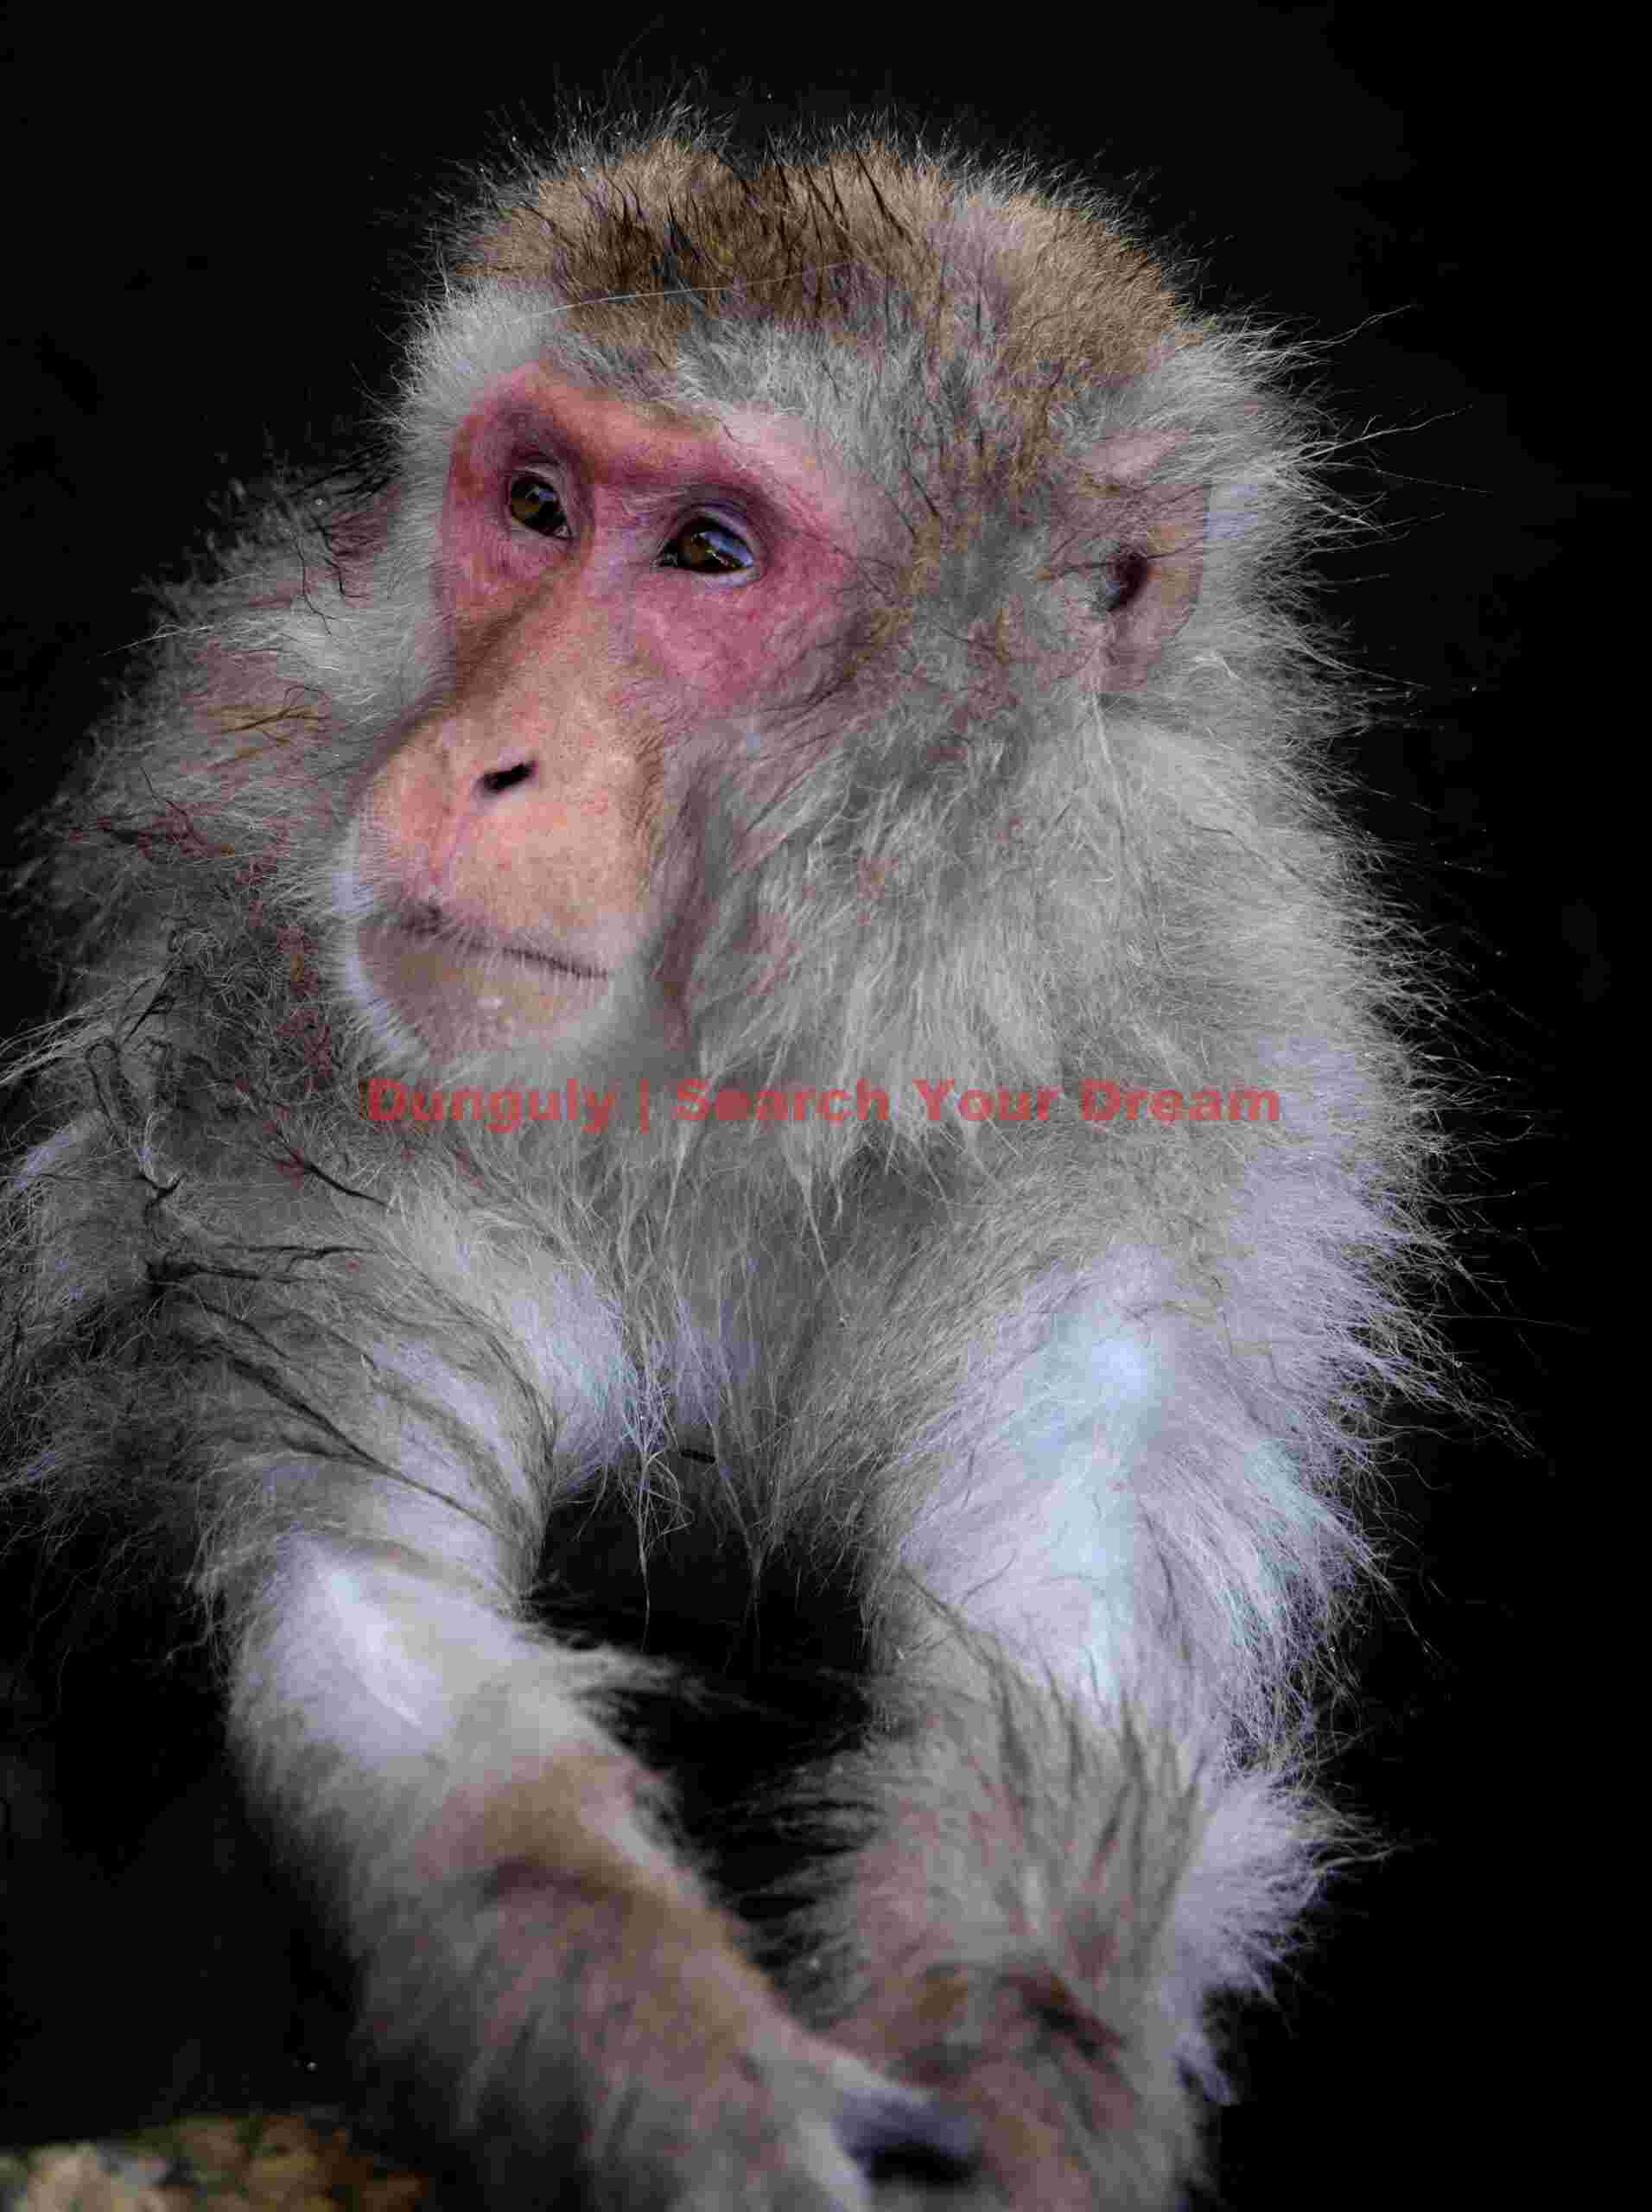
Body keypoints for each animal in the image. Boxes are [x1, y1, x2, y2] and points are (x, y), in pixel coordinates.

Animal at [0, 107, 1447, 2208]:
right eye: (533, 504)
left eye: (706, 551)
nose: (483, 758)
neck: (765, 1067)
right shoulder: (270, 1040)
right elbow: (369, 1610)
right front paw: (688, 2075)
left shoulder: (1171, 1123)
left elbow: (1048, 1680)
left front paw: (1022, 2087)